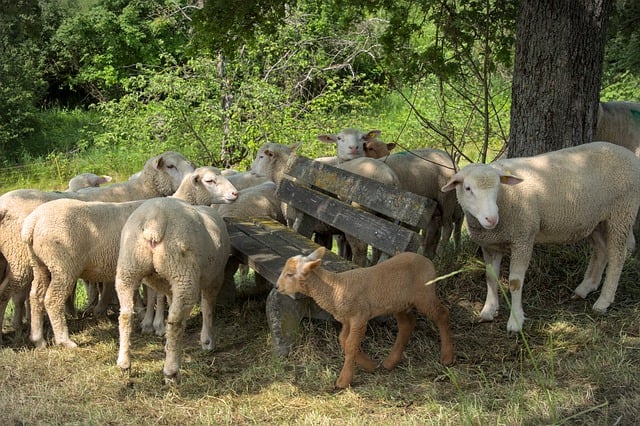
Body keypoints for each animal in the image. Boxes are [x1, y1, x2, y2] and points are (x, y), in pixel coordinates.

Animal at [21, 165, 238, 348]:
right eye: (210, 181)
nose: (235, 194)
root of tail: (33, 221)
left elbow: (152, 294)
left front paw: (149, 322)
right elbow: (157, 296)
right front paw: (157, 325)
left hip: (41, 264)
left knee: (35, 295)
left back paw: (38, 339)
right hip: (63, 265)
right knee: (52, 299)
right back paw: (65, 341)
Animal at [114, 198, 230, 384]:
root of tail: (155, 218)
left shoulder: (167, 286)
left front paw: (168, 344)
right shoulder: (216, 278)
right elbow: (207, 308)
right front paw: (208, 341)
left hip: (128, 267)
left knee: (125, 315)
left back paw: (124, 363)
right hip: (183, 272)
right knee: (176, 321)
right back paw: (171, 371)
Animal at [276, 246, 456, 390]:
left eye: (290, 274)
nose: (277, 287)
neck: (335, 288)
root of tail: (427, 260)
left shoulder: (359, 316)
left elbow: (350, 344)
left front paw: (343, 380)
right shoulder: (348, 319)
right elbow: (343, 341)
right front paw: (369, 365)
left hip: (424, 295)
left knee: (442, 314)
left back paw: (447, 357)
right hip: (399, 303)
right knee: (407, 324)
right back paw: (390, 362)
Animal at [442, 141, 640, 332]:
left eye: (498, 187)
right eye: (468, 188)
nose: (491, 219)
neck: (506, 198)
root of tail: (629, 154)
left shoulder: (523, 238)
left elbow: (515, 282)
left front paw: (516, 321)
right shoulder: (489, 245)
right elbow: (490, 277)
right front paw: (488, 310)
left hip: (621, 213)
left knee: (617, 256)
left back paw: (603, 301)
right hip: (595, 220)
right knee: (601, 250)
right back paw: (585, 287)